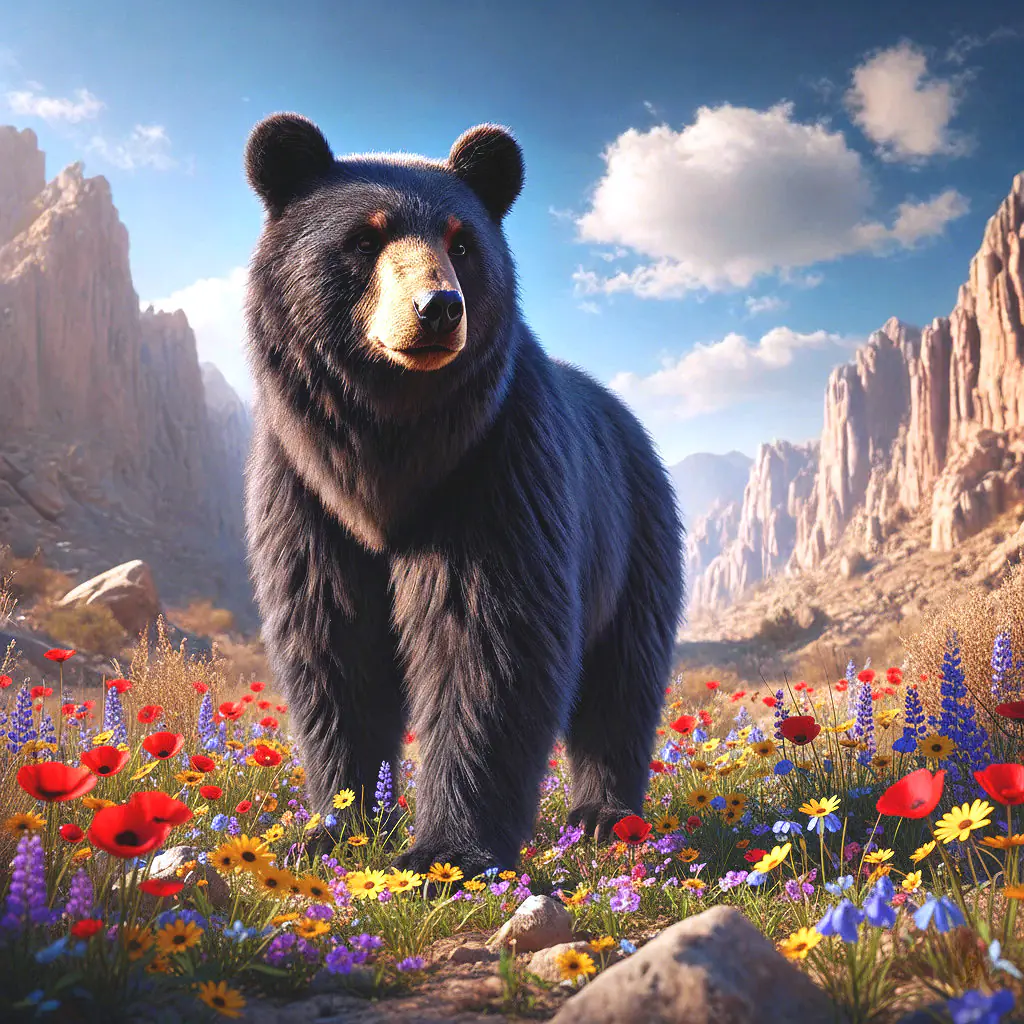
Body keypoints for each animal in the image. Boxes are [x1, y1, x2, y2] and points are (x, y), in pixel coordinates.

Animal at [242, 112, 685, 878]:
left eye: (461, 241)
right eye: (364, 238)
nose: (439, 308)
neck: (387, 445)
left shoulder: (494, 475)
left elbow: (488, 639)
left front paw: (446, 851)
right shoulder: (305, 495)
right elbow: (332, 647)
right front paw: (338, 825)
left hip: (634, 545)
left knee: (621, 684)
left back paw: (604, 815)